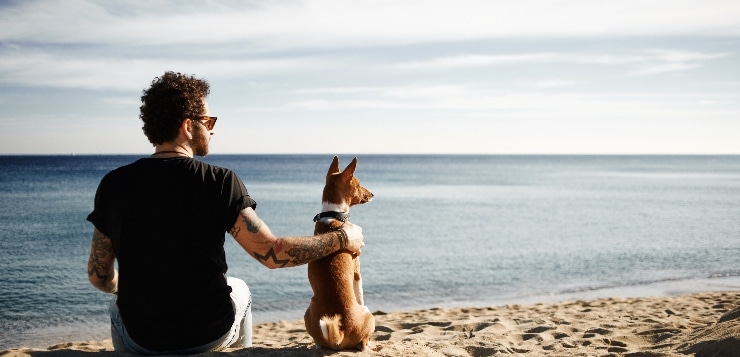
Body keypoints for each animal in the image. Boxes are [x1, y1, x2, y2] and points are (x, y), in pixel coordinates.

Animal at [304, 154, 376, 350]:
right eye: (359, 184)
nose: (372, 194)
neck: (334, 215)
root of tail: (340, 333)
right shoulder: (358, 271)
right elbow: (360, 294)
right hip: (369, 315)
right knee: (362, 342)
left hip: (309, 310)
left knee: (319, 342)